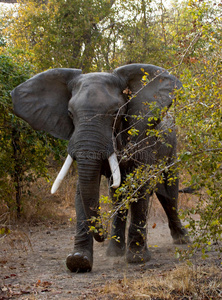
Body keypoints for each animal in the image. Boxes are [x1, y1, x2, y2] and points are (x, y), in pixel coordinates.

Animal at [11, 62, 188, 272]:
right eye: (70, 114)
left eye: (115, 112)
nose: (101, 234)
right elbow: (84, 189)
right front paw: (78, 261)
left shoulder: (142, 139)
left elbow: (140, 185)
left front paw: (137, 258)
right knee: (118, 196)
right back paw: (114, 252)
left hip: (171, 145)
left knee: (169, 193)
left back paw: (182, 241)